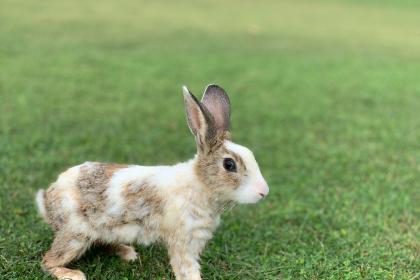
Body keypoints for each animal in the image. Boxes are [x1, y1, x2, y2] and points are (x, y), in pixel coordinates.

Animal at [37, 85, 270, 280]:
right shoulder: (183, 241)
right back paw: (73, 275)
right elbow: (186, 268)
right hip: (75, 235)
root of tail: (48, 199)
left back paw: (128, 253)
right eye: (229, 165)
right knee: (47, 261)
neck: (199, 184)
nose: (264, 192)